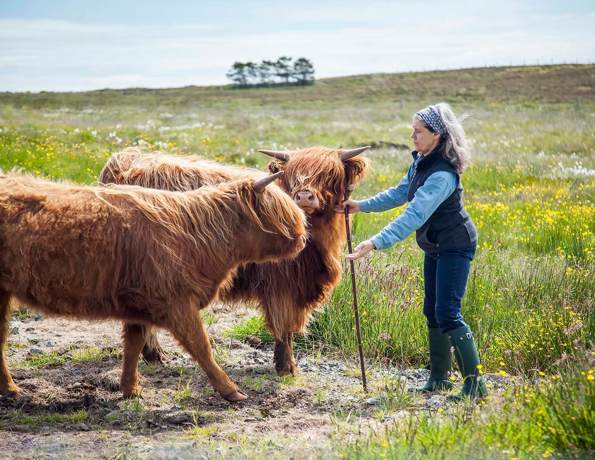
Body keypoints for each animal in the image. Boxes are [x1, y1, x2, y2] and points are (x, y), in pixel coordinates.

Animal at [0, 171, 308, 400]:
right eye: (280, 211)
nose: (303, 238)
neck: (197, 237)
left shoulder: (139, 304)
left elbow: (133, 346)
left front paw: (130, 390)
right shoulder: (176, 302)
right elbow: (201, 346)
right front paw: (231, 391)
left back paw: (11, 389)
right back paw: (12, 389)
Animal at [99, 146, 368, 376]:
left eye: (330, 173)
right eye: (291, 174)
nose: (303, 196)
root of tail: (123, 161)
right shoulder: (281, 285)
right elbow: (283, 327)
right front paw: (287, 367)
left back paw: (154, 356)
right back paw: (154, 354)